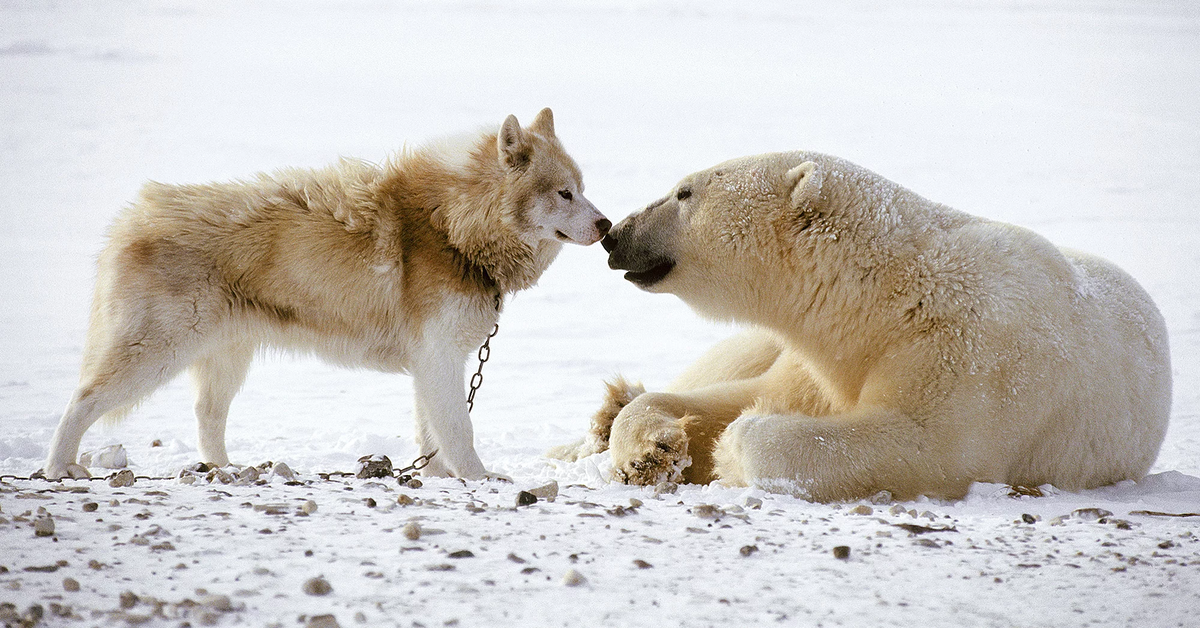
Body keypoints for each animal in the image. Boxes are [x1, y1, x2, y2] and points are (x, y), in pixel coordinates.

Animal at [42, 108, 609, 482]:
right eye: (564, 193)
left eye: (583, 188)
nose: (606, 225)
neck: (453, 227)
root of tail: (133, 218)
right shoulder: (439, 357)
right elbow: (458, 429)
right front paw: (481, 478)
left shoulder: (433, 362)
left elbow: (432, 433)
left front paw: (439, 479)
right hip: (154, 353)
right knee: (81, 400)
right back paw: (58, 467)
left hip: (225, 359)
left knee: (207, 416)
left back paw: (225, 469)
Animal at [559, 151, 1171, 501]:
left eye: (685, 192)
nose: (616, 234)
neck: (884, 299)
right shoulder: (812, 355)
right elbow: (735, 395)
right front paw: (653, 450)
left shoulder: (971, 353)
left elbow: (920, 444)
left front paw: (730, 451)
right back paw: (608, 412)